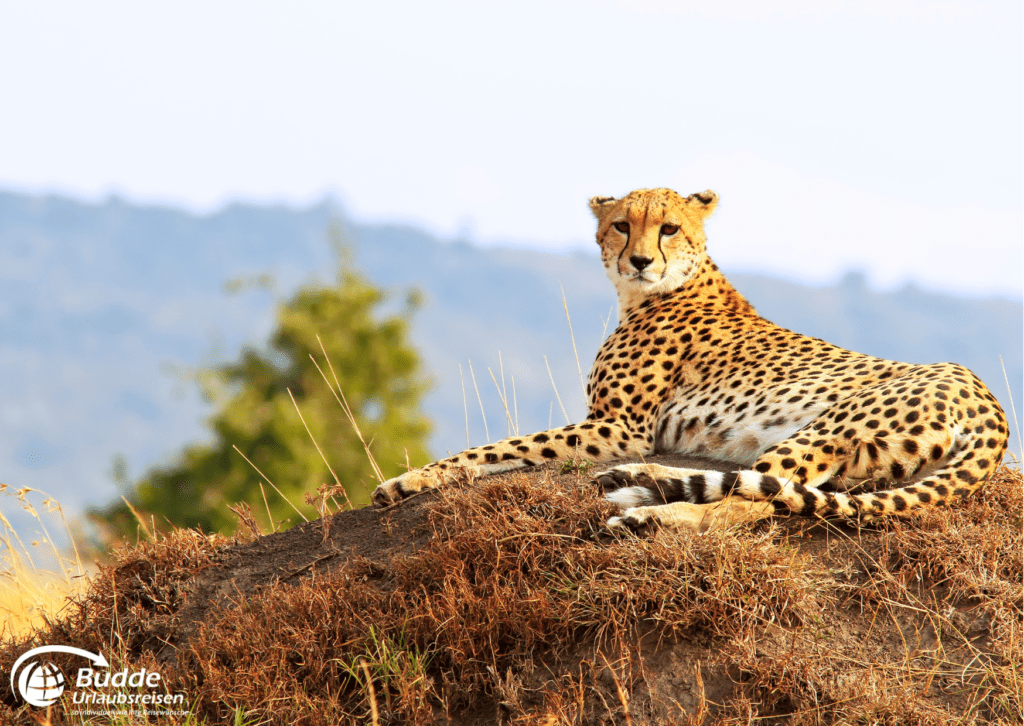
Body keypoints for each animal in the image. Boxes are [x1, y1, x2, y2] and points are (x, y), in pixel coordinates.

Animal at [372, 188, 1011, 532]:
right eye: (621, 225)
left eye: (669, 228)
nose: (639, 261)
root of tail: (987, 398)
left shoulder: (620, 427)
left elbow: (498, 446)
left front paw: (406, 480)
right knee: (763, 493)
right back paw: (640, 487)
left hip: (826, 427)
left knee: (754, 502)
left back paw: (645, 506)